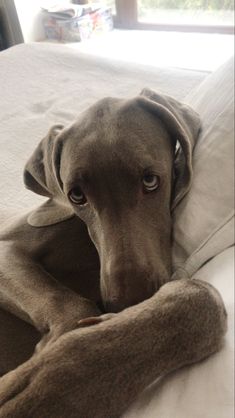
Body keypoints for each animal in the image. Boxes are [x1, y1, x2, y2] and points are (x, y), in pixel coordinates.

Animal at [0, 90, 228, 416]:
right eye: (76, 195)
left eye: (150, 180)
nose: (127, 304)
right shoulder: (5, 248)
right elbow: (70, 305)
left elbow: (202, 296)